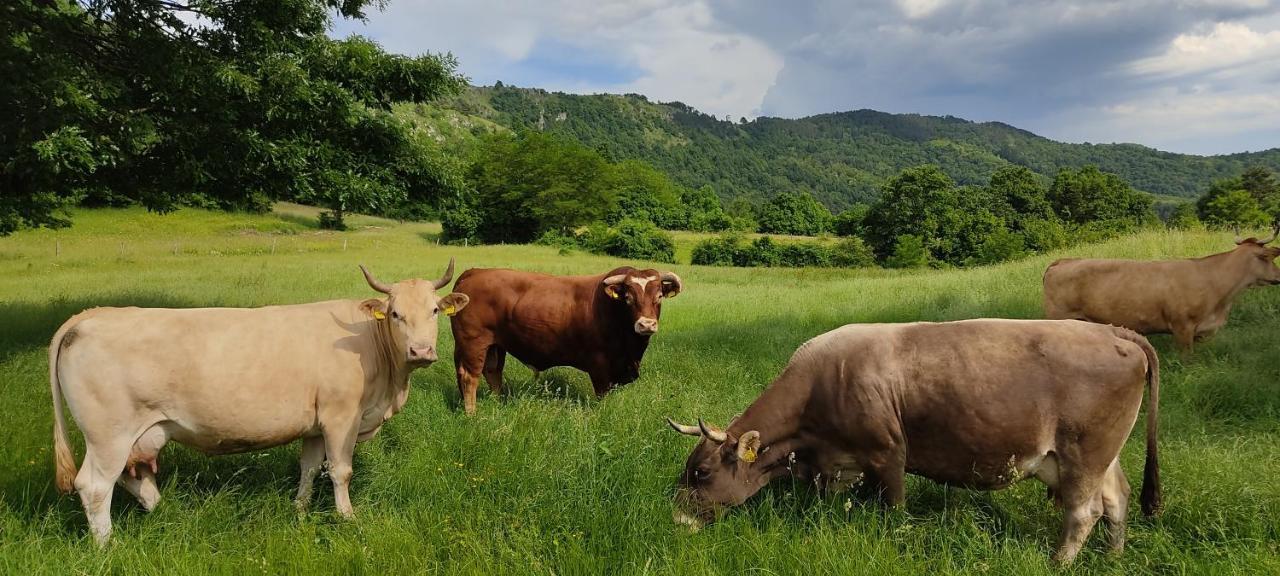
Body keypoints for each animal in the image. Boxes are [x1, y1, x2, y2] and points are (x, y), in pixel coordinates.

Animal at [52, 261, 471, 545]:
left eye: (434, 310)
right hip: (109, 434)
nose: (421, 351)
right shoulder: (341, 417)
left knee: (131, 476)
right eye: (396, 314)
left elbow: (309, 467)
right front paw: (348, 518)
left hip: (135, 435)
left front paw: (300, 511)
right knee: (94, 486)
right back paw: (108, 546)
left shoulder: (315, 424)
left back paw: (168, 512)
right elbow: (340, 471)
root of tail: (89, 317)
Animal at [448, 264, 680, 414]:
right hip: (473, 342)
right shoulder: (600, 367)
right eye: (629, 298)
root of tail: (474, 272)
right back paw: (472, 415)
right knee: (469, 377)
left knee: (492, 373)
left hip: (494, 345)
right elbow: (602, 396)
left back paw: (496, 405)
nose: (646, 325)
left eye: (659, 296)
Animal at [670, 317, 1162, 565]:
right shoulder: (837, 466)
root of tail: (1111, 331)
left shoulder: (888, 454)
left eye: (703, 472)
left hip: (1084, 453)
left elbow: (894, 510)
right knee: (1117, 498)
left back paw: (1057, 563)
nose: (677, 521)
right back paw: (1114, 557)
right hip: (1099, 456)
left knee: (1085, 512)